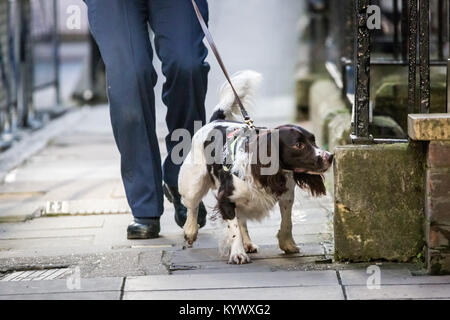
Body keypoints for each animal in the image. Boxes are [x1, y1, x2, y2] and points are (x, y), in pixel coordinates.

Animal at [178, 71, 332, 264]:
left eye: (313, 140)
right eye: (299, 145)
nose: (330, 157)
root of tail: (215, 121)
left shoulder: (287, 195)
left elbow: (287, 222)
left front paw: (287, 244)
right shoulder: (225, 198)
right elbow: (234, 228)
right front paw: (237, 253)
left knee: (241, 218)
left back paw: (248, 243)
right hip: (194, 182)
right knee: (192, 205)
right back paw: (190, 231)